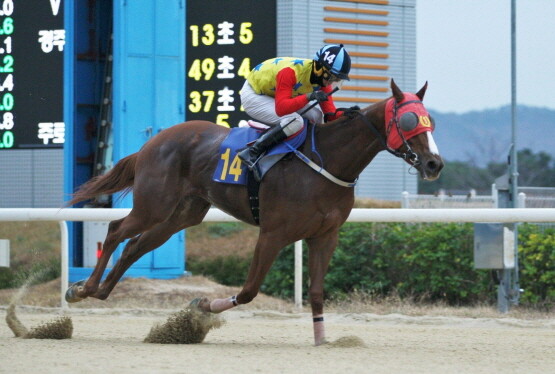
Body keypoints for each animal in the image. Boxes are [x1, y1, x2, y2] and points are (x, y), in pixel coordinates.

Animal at [67, 80, 446, 346]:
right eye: (408, 120)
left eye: (431, 121)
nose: (434, 164)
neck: (327, 159)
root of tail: (152, 141)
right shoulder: (273, 233)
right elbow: (249, 290)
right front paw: (201, 307)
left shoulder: (325, 235)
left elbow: (317, 292)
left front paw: (323, 339)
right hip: (154, 205)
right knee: (116, 231)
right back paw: (82, 289)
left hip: (181, 214)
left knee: (134, 246)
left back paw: (100, 291)